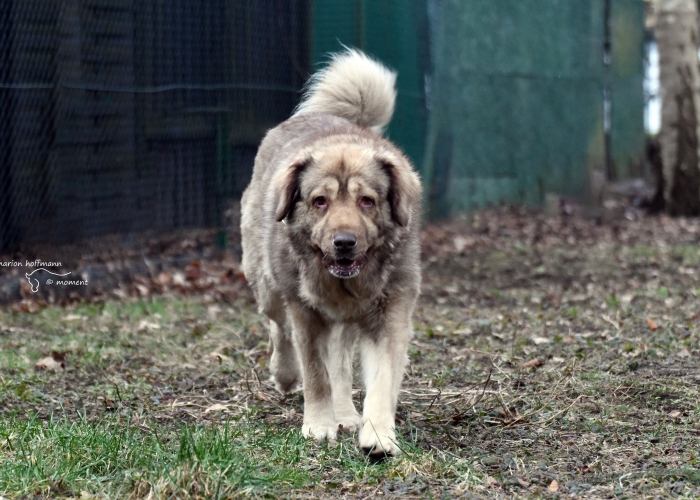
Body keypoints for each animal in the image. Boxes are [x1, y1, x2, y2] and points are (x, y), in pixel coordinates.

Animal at [241, 49, 422, 458]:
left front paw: (378, 435)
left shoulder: (389, 315)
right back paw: (284, 374)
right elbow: (315, 373)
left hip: (344, 322)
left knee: (339, 363)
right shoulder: (305, 314)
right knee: (279, 328)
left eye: (367, 201)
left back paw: (346, 413)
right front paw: (319, 426)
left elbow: (380, 379)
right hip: (267, 286)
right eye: (319, 201)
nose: (344, 242)